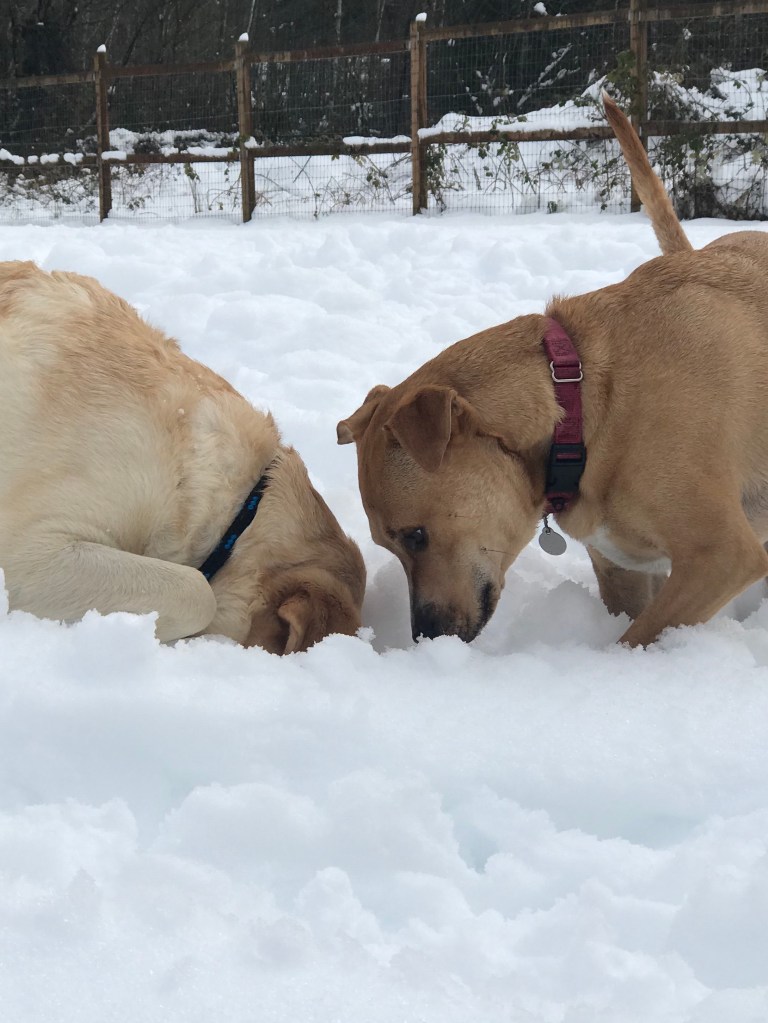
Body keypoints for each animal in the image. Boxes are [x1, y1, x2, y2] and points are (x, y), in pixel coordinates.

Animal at [338, 94, 768, 648]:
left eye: (414, 535)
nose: (426, 637)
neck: (585, 402)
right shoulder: (623, 567)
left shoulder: (719, 556)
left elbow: (633, 642)